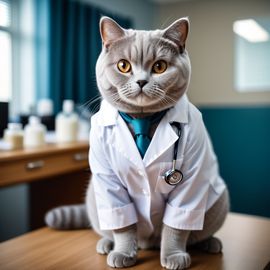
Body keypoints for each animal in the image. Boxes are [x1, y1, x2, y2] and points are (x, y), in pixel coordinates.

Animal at [44, 16, 230, 270]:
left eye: (160, 66)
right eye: (123, 65)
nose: (141, 81)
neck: (143, 118)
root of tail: (148, 242)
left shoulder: (191, 178)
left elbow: (176, 226)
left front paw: (173, 256)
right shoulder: (108, 182)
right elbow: (122, 224)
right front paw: (123, 253)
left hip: (218, 200)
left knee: (196, 229)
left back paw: (211, 243)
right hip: (94, 198)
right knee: (109, 227)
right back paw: (106, 244)